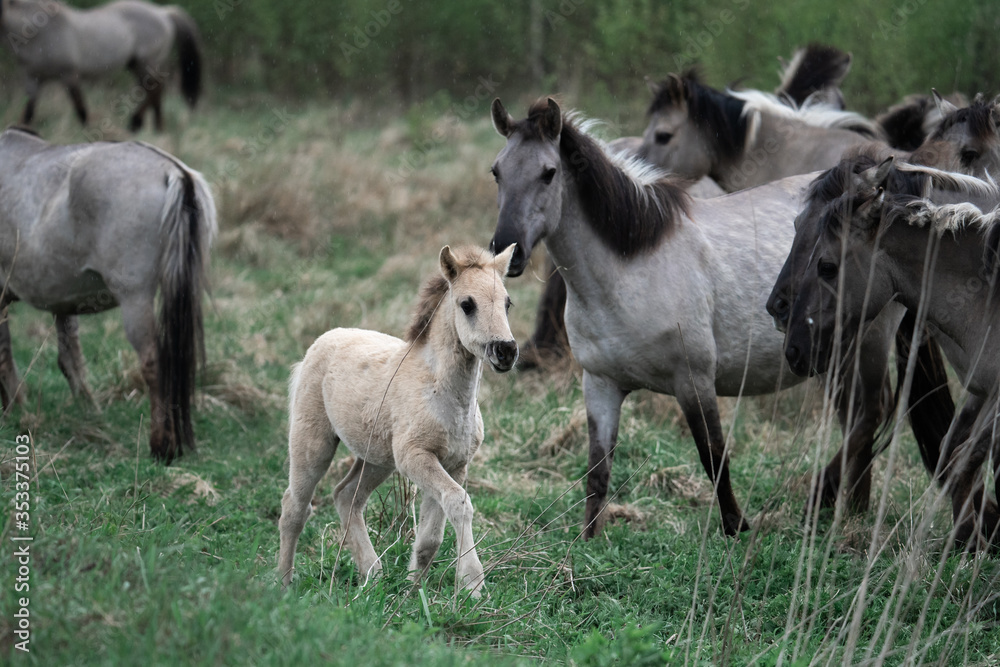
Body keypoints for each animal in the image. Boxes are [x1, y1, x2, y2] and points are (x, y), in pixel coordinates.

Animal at [0, 0, 203, 130]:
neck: (38, 31)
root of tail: (163, 12)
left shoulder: (70, 75)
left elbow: (80, 108)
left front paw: (86, 133)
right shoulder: (33, 78)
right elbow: (28, 111)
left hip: (147, 62)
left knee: (155, 89)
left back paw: (138, 123)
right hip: (137, 65)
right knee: (152, 90)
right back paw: (154, 126)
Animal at [0, 129, 217, 464]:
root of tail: (174, 171)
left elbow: (5, 356)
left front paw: (16, 412)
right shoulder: (64, 302)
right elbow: (70, 360)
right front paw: (89, 414)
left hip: (135, 299)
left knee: (153, 362)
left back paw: (162, 445)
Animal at [278, 244, 520, 596]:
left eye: (507, 303)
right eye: (467, 304)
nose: (506, 351)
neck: (444, 394)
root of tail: (324, 340)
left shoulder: (454, 464)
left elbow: (432, 535)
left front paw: (411, 590)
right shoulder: (415, 457)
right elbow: (459, 502)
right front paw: (472, 584)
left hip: (377, 457)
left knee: (346, 496)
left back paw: (373, 575)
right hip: (313, 442)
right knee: (295, 507)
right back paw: (283, 582)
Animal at [488, 98, 832, 536]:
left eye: (549, 173)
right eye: (497, 171)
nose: (508, 251)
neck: (631, 268)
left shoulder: (694, 381)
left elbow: (714, 456)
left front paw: (737, 529)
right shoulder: (599, 386)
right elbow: (597, 470)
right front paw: (588, 540)